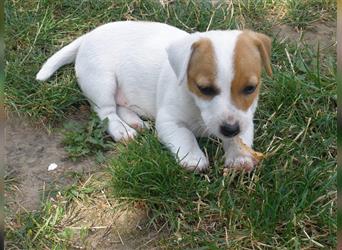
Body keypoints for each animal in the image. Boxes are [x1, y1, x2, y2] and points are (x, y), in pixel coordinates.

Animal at [36, 21, 272, 172]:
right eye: (204, 88)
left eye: (250, 88)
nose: (229, 129)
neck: (195, 105)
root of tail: (88, 36)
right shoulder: (169, 121)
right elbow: (185, 135)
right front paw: (193, 158)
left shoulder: (245, 117)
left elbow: (242, 136)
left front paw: (239, 155)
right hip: (101, 81)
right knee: (106, 112)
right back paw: (122, 130)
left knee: (120, 105)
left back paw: (135, 122)